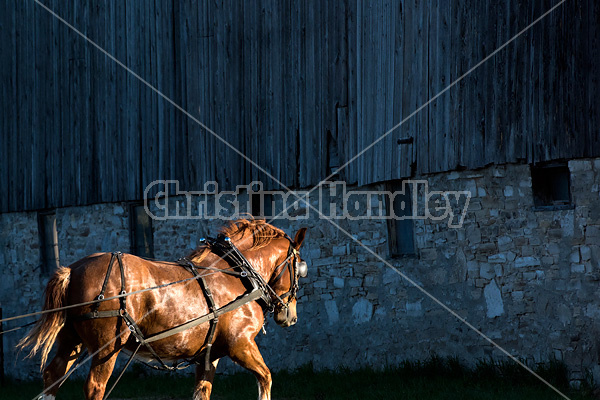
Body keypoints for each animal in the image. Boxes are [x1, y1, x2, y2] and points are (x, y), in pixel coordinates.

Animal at [17, 219, 310, 400]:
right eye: (299, 268)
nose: (291, 316)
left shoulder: (209, 356)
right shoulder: (241, 345)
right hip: (106, 348)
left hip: (71, 341)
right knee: (94, 387)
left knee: (52, 377)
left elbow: (202, 391)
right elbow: (266, 378)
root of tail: (73, 270)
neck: (237, 276)